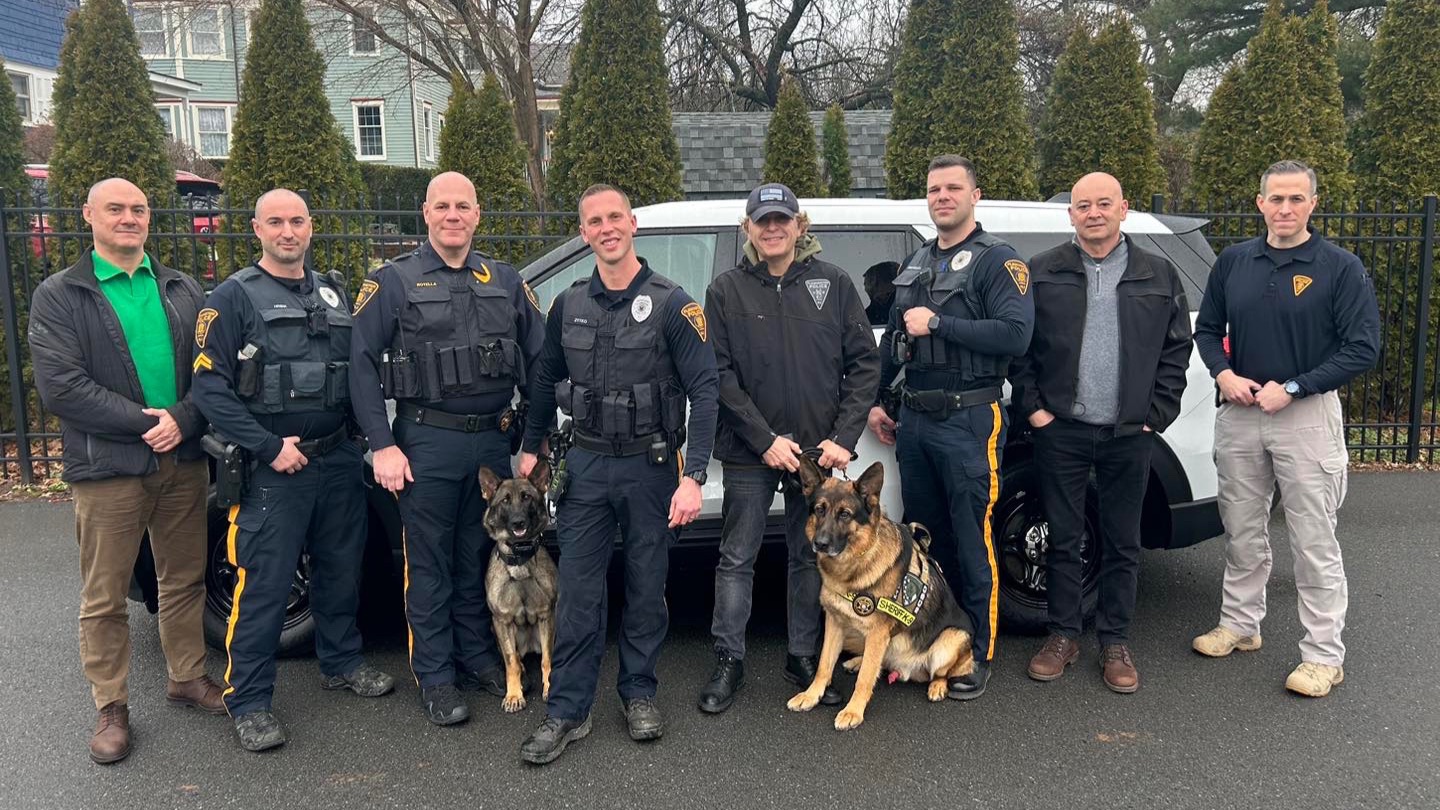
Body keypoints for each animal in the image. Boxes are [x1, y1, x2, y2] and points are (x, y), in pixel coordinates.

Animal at [478, 461, 555, 711]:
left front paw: (550, 686)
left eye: (527, 497)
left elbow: (547, 659)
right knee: (515, 657)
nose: (518, 522)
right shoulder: (501, 621)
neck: (520, 559)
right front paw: (513, 694)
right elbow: (510, 661)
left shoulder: (546, 616)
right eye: (505, 501)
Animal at [789, 458, 979, 729]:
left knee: (942, 673)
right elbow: (824, 665)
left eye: (845, 514)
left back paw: (938, 686)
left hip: (952, 639)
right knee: (879, 659)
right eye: (819, 510)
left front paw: (853, 711)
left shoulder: (878, 631)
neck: (853, 564)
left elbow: (866, 678)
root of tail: (909, 668)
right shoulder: (835, 623)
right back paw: (857, 661)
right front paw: (811, 695)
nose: (820, 544)